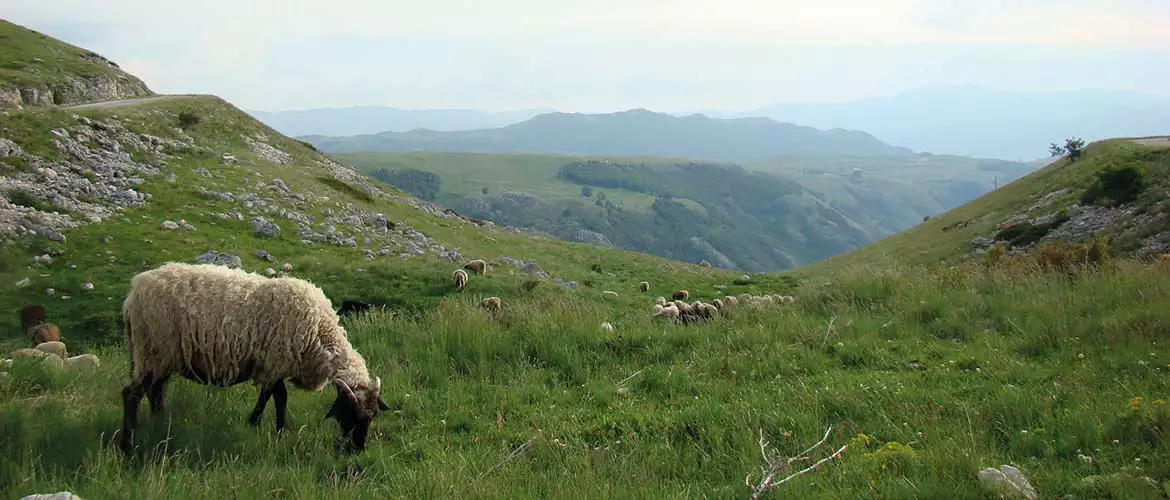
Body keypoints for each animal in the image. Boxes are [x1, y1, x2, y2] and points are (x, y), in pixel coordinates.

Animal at [121, 264, 390, 456]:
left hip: (161, 357)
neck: (319, 332)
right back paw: (128, 444)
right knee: (132, 394)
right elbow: (273, 397)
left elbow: (279, 398)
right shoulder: (273, 363)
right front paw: (257, 424)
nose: (357, 450)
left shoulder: (275, 366)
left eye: (373, 416)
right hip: (152, 350)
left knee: (156, 393)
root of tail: (132, 294)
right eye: (351, 414)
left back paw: (159, 426)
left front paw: (279, 430)